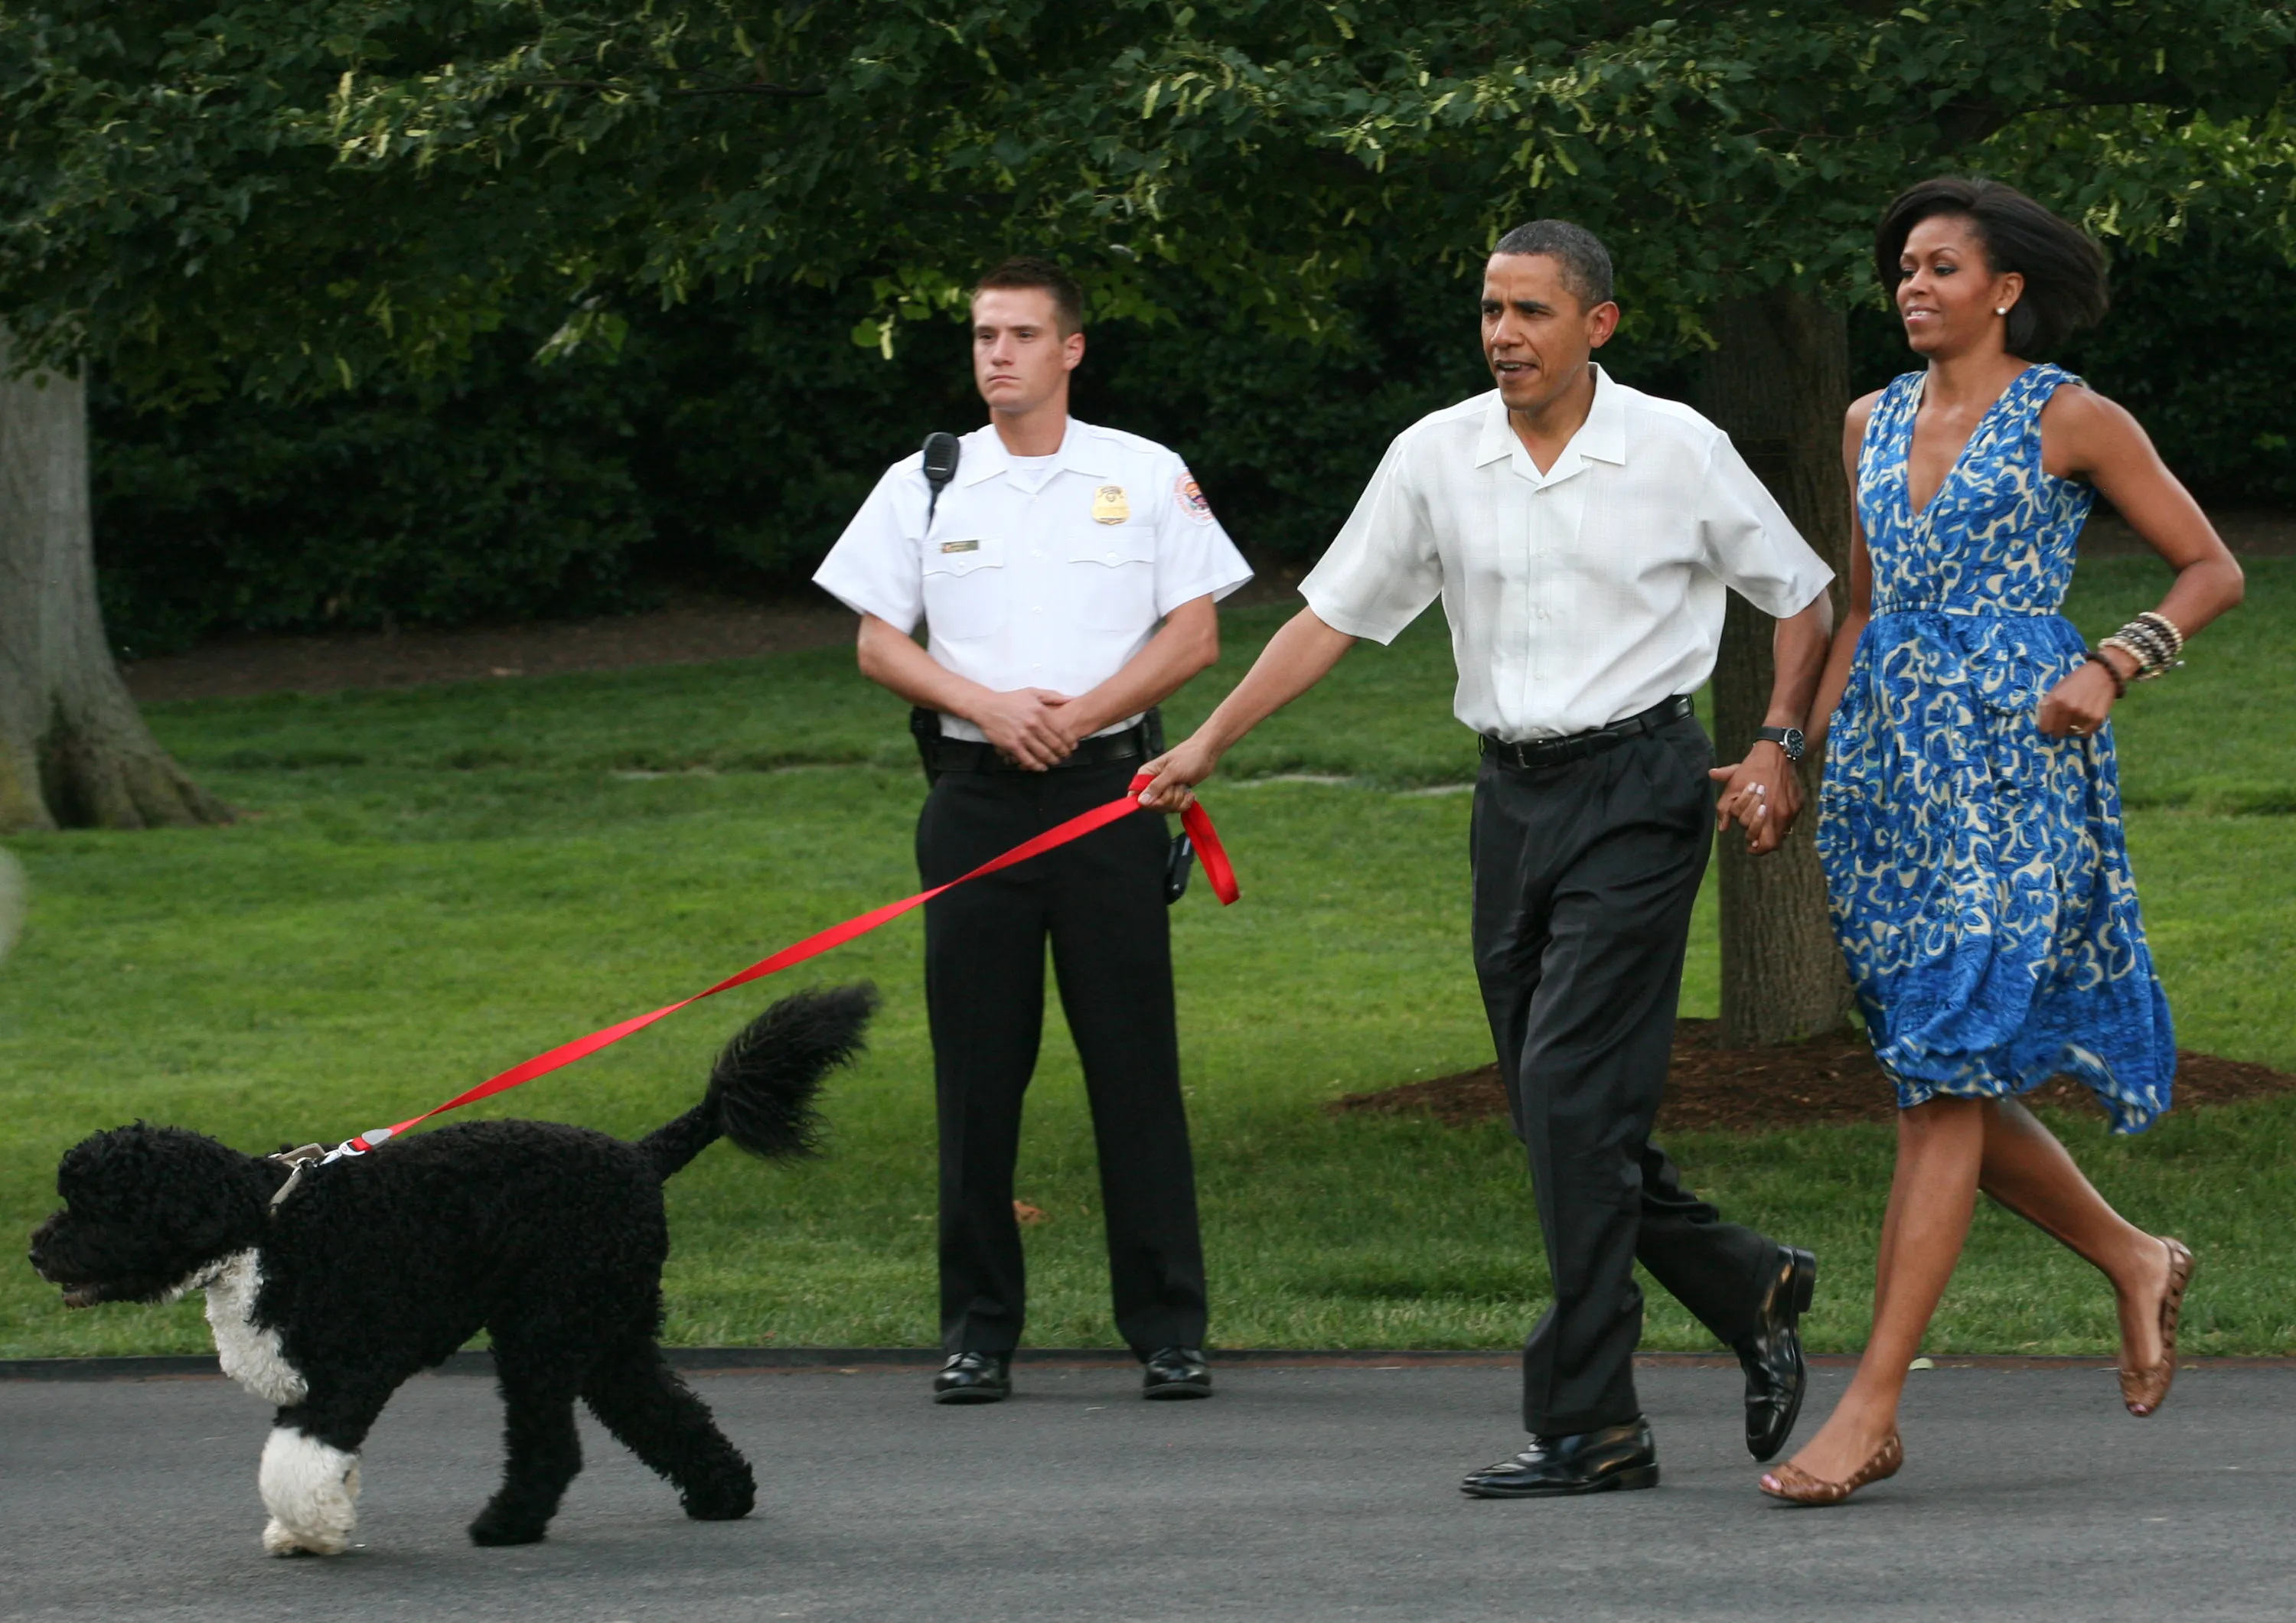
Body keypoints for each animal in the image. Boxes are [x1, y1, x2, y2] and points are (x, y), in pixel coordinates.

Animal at [27, 983, 877, 1552]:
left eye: (99, 1204)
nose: (36, 1250)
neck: (269, 1226)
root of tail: (641, 1156)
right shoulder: (319, 1380)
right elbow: (322, 1463)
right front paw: (316, 1527)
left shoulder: (349, 1371)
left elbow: (294, 1464)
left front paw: (314, 1529)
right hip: (607, 1331)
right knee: (665, 1410)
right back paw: (723, 1495)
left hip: (543, 1333)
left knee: (554, 1445)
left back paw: (508, 1523)